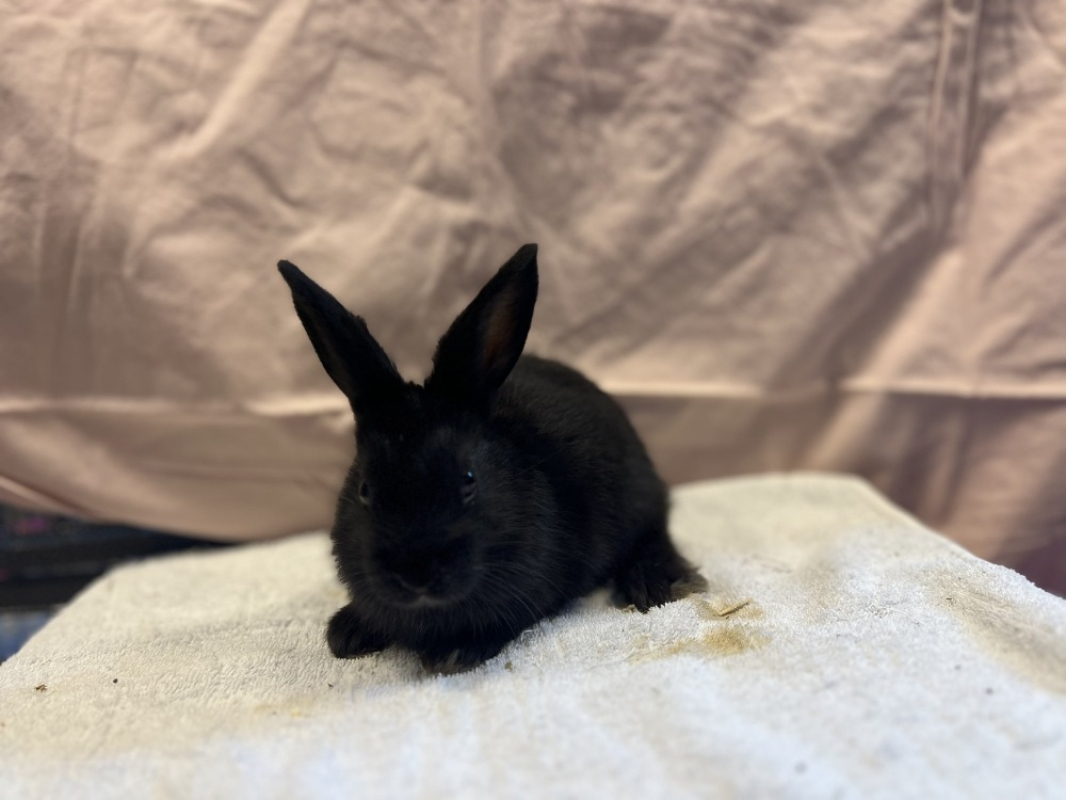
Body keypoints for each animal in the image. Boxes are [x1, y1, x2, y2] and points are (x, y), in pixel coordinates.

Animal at [278, 244, 705, 673]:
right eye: (365, 490)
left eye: (469, 479)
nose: (415, 575)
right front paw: (347, 632)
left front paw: (452, 652)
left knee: (655, 534)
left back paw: (656, 583)